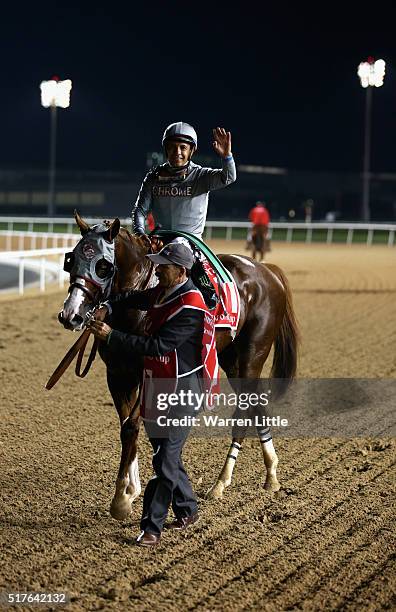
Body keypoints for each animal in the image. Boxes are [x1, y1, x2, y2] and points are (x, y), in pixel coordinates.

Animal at [56, 213, 296, 520]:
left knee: (248, 410)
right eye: (71, 259)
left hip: (251, 357)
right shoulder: (118, 374)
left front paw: (121, 499)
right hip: (231, 360)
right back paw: (263, 475)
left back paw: (228, 481)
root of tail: (268, 271)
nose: (70, 315)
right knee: (256, 407)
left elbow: (133, 426)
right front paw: (131, 490)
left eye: (103, 265)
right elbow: (127, 425)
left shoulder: (153, 373)